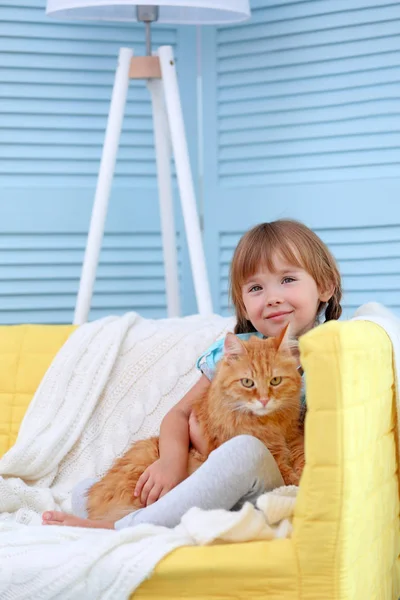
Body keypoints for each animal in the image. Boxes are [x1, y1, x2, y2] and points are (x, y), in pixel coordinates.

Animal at [86, 324, 304, 520]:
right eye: (247, 383)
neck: (272, 423)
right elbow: (289, 475)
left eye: (275, 381)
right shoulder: (271, 454)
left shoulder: (294, 439)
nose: (264, 400)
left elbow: (301, 461)